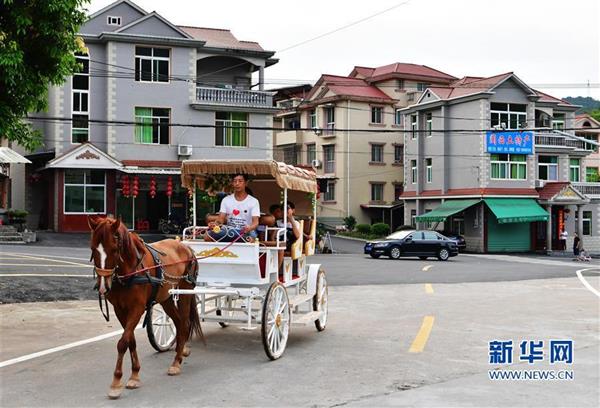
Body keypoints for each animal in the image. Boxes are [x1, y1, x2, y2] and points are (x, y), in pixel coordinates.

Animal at [88, 217, 203, 398]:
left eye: (114, 249)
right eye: (93, 248)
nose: (102, 286)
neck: (130, 271)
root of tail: (185, 247)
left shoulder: (137, 308)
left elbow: (122, 342)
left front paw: (116, 382)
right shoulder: (120, 310)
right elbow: (130, 340)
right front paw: (134, 374)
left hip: (185, 291)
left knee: (184, 324)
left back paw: (177, 362)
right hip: (166, 298)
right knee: (178, 323)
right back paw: (181, 351)